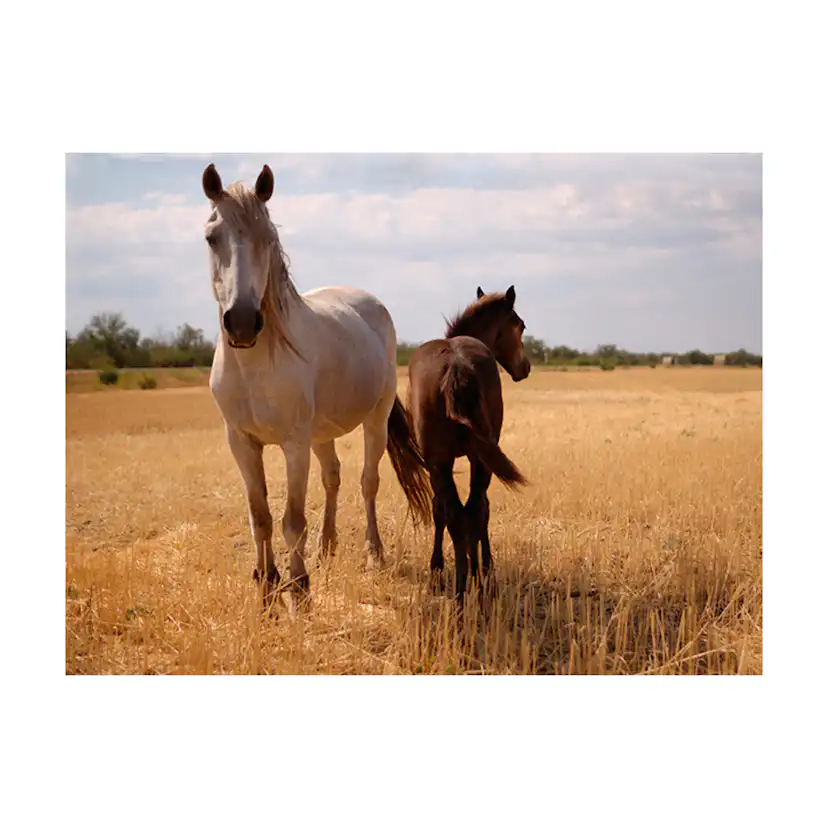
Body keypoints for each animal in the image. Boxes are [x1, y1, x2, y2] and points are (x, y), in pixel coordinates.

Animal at [201, 163, 432, 609]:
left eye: (268, 238)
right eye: (211, 237)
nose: (242, 322)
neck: (256, 365)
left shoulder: (293, 444)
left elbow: (291, 521)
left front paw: (299, 587)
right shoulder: (241, 442)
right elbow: (260, 517)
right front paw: (266, 583)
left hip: (373, 421)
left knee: (367, 482)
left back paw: (373, 553)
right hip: (321, 434)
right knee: (333, 478)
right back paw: (327, 548)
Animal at [406, 286, 531, 604]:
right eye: (520, 325)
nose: (525, 367)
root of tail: (456, 365)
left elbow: (445, 510)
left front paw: (440, 569)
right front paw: (483, 567)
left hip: (446, 462)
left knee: (460, 512)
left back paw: (465, 584)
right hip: (469, 460)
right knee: (470, 510)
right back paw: (471, 580)